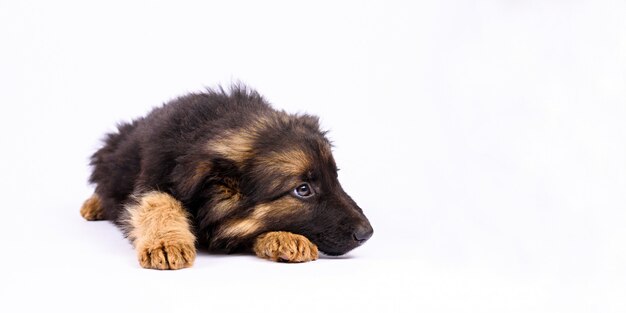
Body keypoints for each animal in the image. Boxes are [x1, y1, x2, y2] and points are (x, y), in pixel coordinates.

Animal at [78, 85, 370, 268]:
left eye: (335, 177)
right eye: (303, 189)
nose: (368, 233)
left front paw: (284, 237)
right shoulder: (152, 180)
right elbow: (157, 203)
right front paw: (166, 242)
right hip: (113, 155)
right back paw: (94, 205)